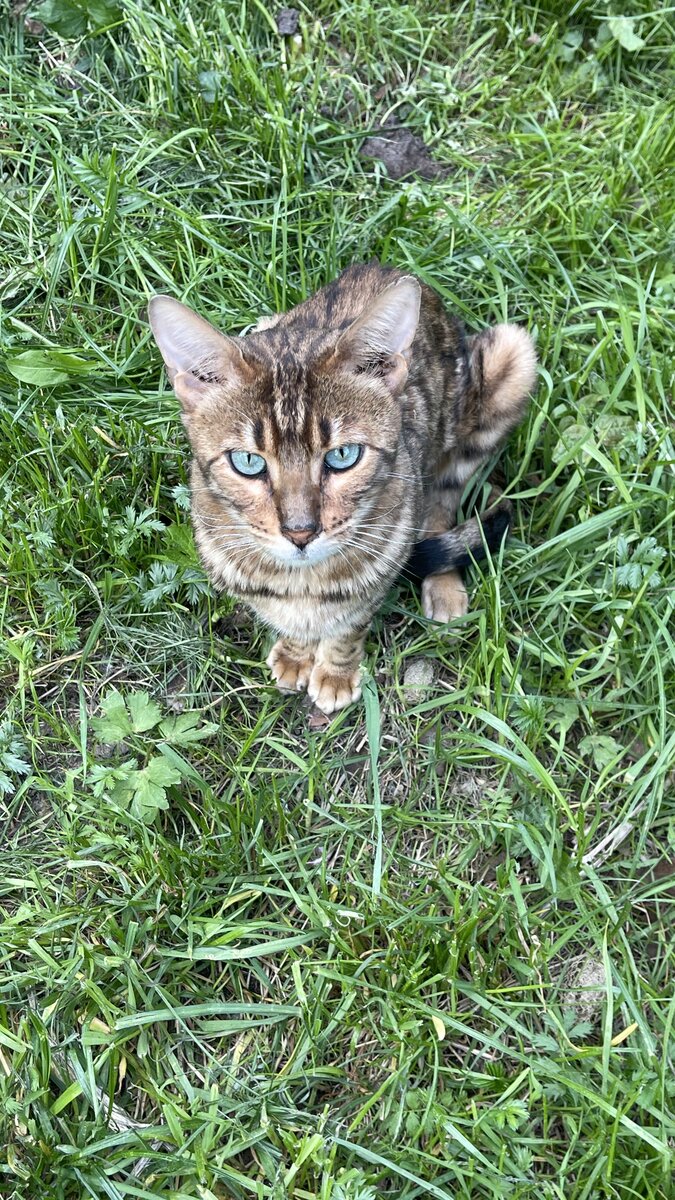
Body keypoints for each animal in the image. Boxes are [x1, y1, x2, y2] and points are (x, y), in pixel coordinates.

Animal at [148, 262, 535, 710]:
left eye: (343, 456)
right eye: (248, 462)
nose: (300, 532)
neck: (299, 583)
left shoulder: (381, 568)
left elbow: (350, 624)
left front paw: (335, 672)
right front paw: (296, 653)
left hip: (509, 361)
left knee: (443, 499)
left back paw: (445, 586)